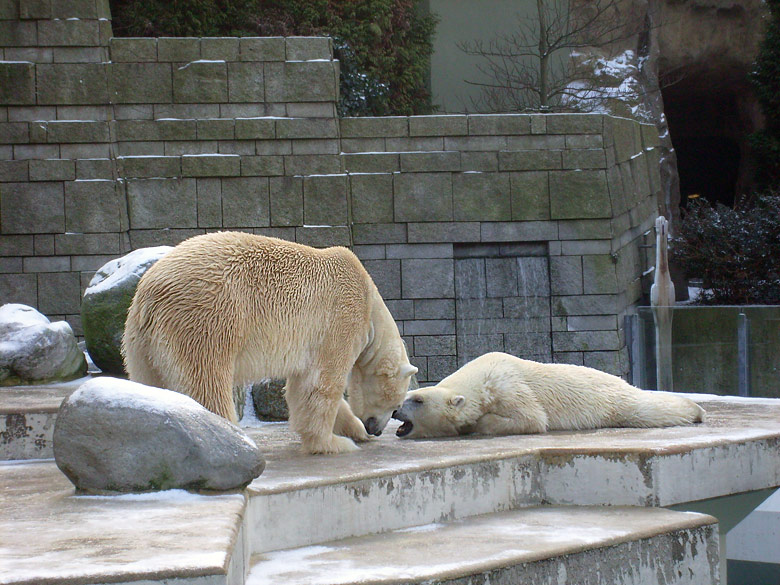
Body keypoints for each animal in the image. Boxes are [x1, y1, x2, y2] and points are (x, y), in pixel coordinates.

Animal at [122, 230, 414, 454]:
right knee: (206, 383)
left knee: (151, 383)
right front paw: (334, 443)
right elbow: (322, 384)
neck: (370, 303)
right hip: (208, 318)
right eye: (395, 405)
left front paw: (354, 430)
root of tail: (150, 291)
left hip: (141, 342)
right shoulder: (340, 320)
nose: (376, 430)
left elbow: (299, 387)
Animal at [394, 352, 704, 438]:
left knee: (647, 408)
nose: (396, 409)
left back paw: (695, 410)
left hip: (614, 401)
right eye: (412, 393)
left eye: (417, 400)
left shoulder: (508, 386)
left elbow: (531, 417)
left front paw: (474, 425)